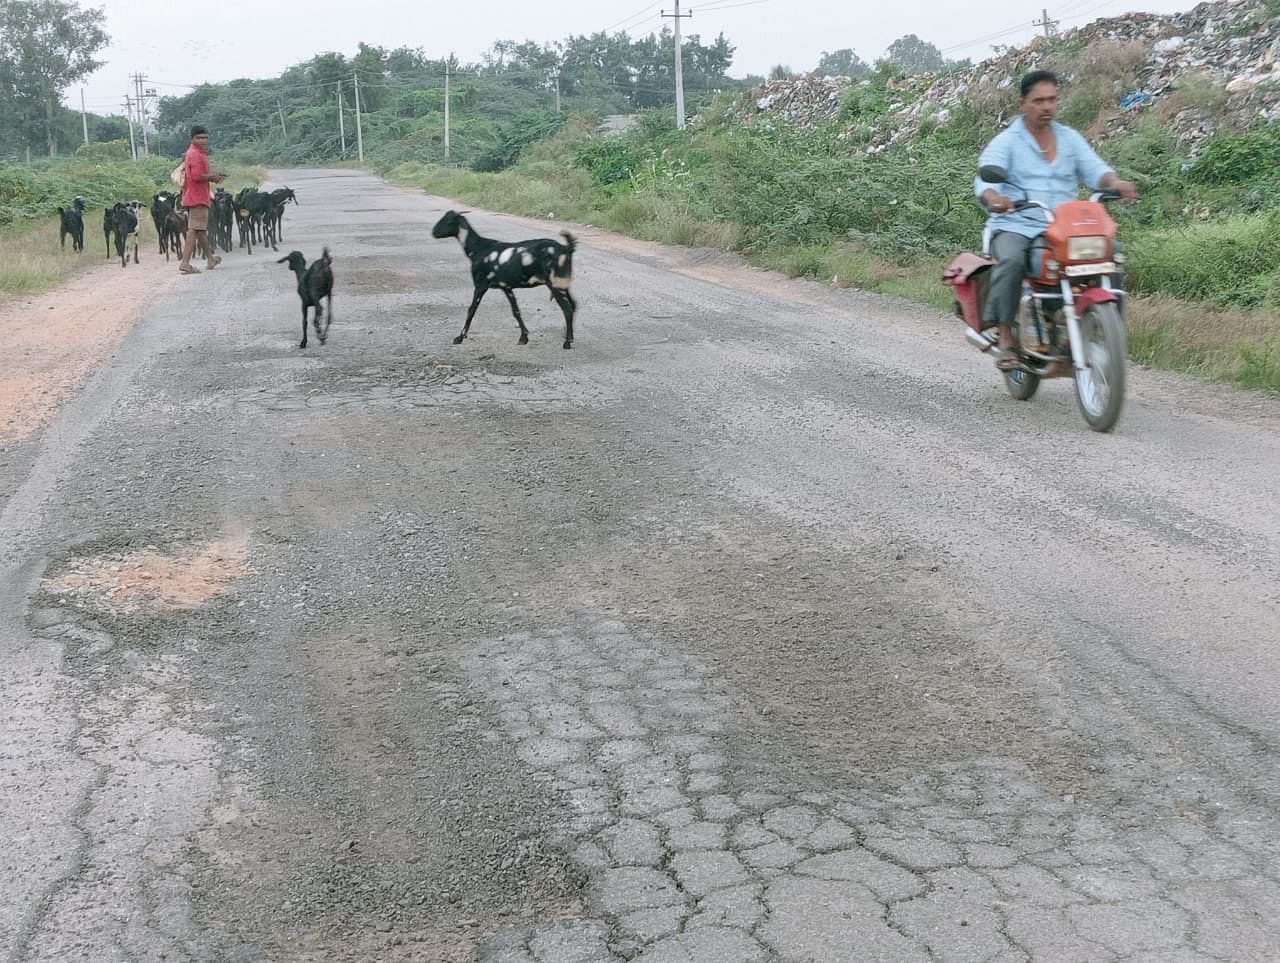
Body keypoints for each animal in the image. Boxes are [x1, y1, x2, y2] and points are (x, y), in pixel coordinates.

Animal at [432, 210, 578, 350]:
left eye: (449, 221)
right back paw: (568, 336)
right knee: (573, 305)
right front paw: (523, 338)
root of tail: (566, 248)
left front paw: (459, 337)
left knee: (567, 309)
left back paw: (567, 342)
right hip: (562, 282)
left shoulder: (480, 285)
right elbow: (516, 311)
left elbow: (471, 310)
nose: (433, 232)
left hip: (555, 283)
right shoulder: (506, 287)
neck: (479, 249)